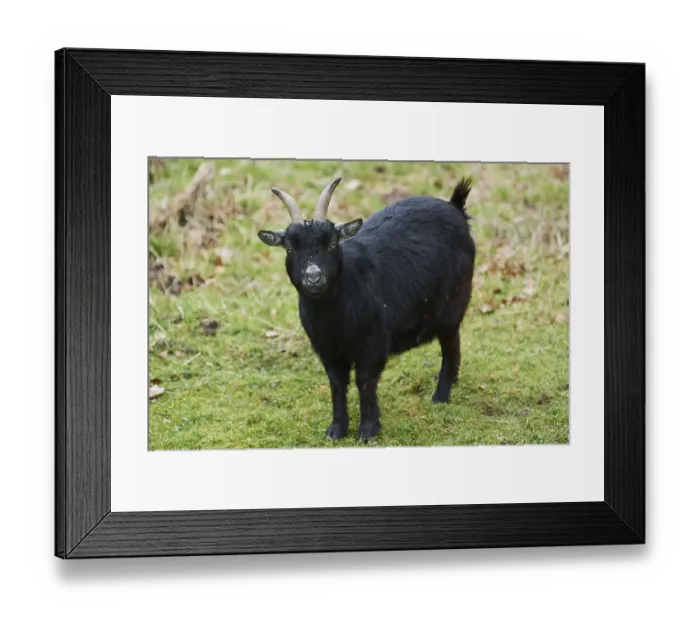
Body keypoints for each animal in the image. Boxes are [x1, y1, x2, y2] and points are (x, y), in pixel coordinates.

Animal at [258, 177, 476, 442]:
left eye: (332, 243)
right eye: (289, 248)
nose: (314, 278)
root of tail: (455, 207)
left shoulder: (373, 345)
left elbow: (365, 382)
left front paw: (368, 430)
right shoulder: (327, 350)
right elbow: (337, 384)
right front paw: (336, 429)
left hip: (452, 306)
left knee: (450, 346)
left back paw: (441, 396)